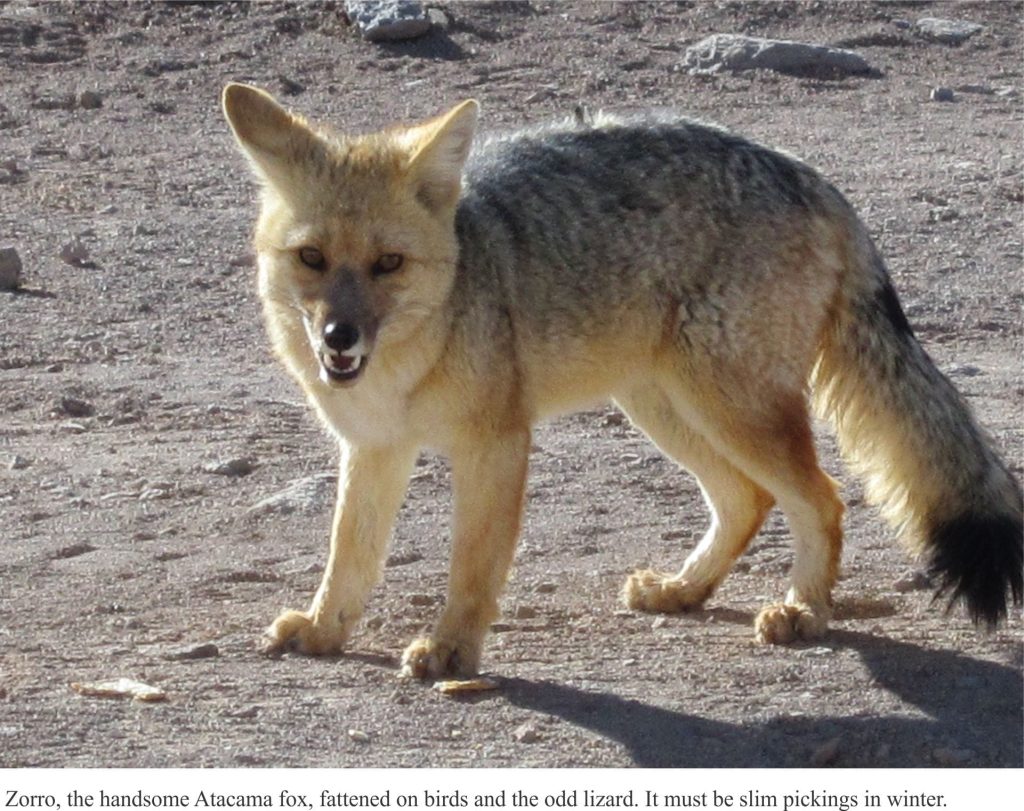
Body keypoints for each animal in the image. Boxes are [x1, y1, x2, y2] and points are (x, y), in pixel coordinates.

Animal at [220, 83, 1019, 679]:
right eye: (313, 259)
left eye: (388, 264)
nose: (339, 338)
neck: (405, 366)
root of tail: (812, 176)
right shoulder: (374, 446)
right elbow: (348, 554)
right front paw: (325, 629)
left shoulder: (495, 443)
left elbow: (472, 565)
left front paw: (451, 648)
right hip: (662, 405)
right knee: (748, 498)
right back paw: (685, 589)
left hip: (730, 407)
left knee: (820, 498)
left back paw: (804, 610)